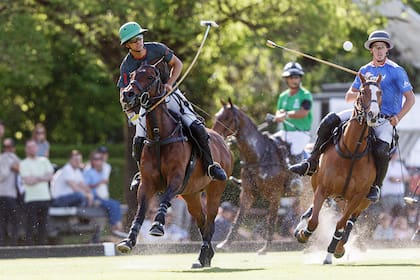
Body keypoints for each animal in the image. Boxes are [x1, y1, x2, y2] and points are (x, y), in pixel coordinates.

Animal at [115, 64, 233, 268]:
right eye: (131, 75)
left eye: (150, 76)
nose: (127, 94)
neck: (158, 135)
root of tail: (222, 141)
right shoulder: (147, 183)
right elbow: (141, 210)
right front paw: (128, 241)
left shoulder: (176, 179)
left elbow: (164, 199)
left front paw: (157, 226)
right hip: (191, 194)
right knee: (202, 222)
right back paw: (204, 257)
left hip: (215, 190)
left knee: (210, 222)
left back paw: (203, 255)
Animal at [213, 99, 292, 255]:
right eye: (216, 116)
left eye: (227, 118)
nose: (214, 134)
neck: (259, 157)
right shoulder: (248, 192)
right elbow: (238, 217)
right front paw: (225, 243)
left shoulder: (275, 194)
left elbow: (271, 221)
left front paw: (265, 248)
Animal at [294, 72, 382, 264]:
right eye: (362, 92)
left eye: (380, 93)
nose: (373, 115)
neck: (352, 151)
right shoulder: (323, 188)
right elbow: (314, 221)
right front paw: (303, 234)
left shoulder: (357, 197)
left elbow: (341, 225)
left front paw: (331, 253)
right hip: (325, 190)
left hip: (361, 202)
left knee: (349, 222)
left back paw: (340, 247)